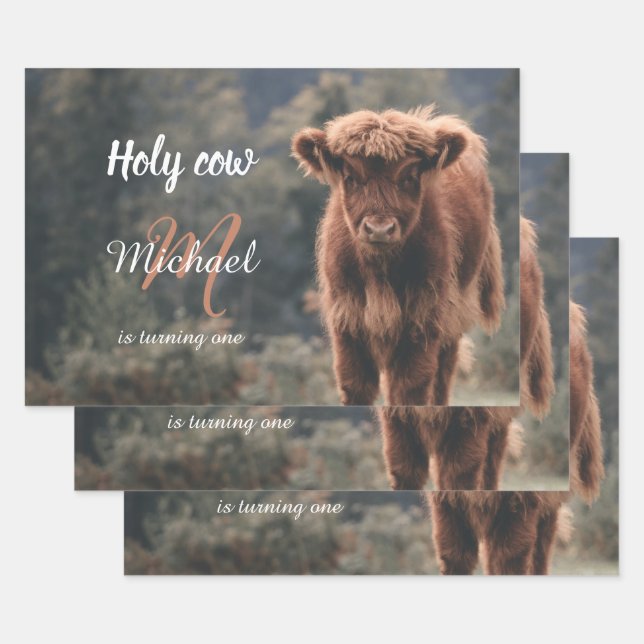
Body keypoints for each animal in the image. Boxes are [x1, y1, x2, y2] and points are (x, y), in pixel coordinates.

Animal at [292, 106, 505, 405]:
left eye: (408, 177)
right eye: (351, 177)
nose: (379, 228)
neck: (380, 270)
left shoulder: (423, 316)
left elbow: (411, 386)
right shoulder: (347, 317)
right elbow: (355, 383)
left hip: (454, 318)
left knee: (441, 377)